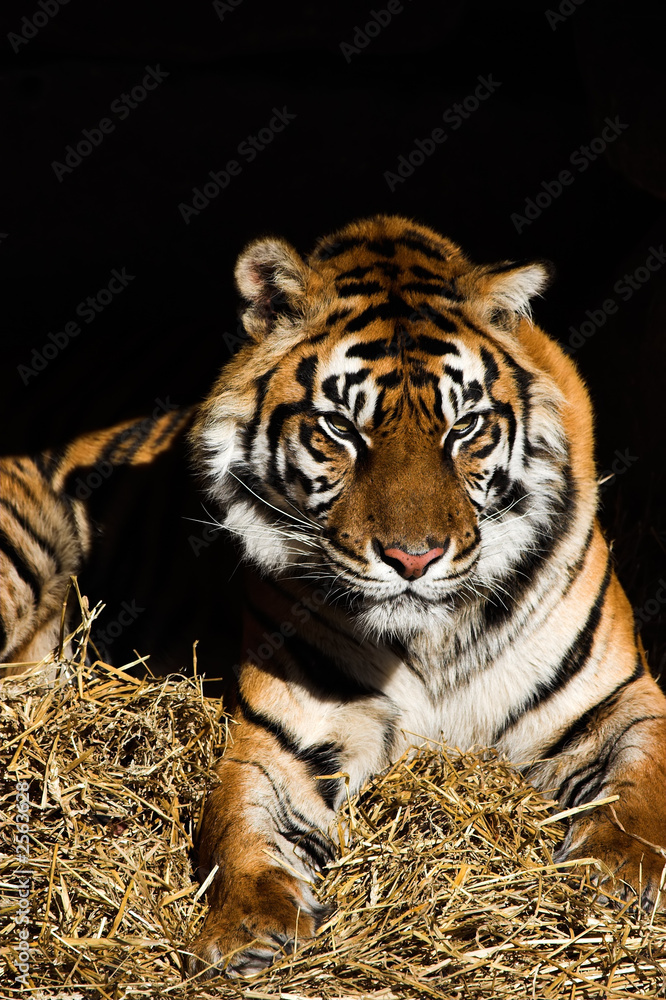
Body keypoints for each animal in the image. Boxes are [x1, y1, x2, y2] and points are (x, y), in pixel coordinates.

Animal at [187, 214, 666, 976]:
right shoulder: (282, 737)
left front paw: (618, 873)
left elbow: (645, 784)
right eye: (341, 428)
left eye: (463, 427)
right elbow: (240, 823)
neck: (431, 638)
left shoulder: (618, 697)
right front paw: (246, 926)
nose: (414, 557)